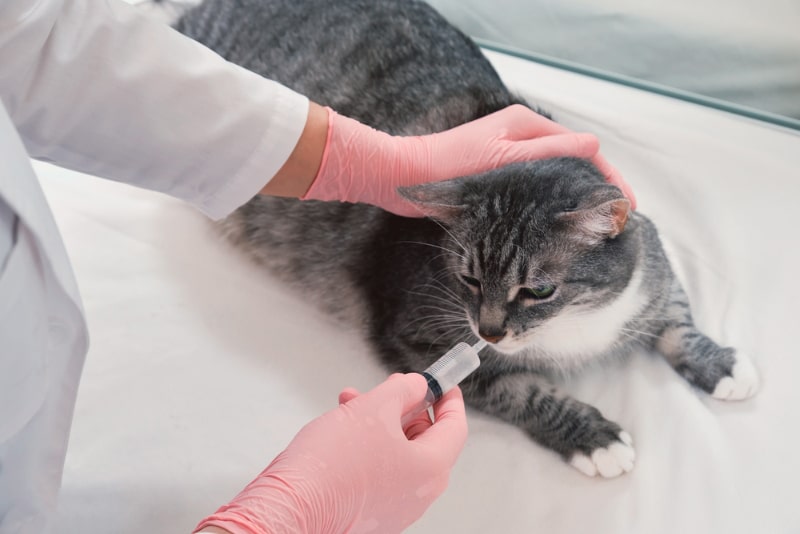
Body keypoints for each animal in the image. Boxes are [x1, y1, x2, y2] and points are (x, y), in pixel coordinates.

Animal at [167, 0, 756, 480]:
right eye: (468, 278)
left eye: (539, 290)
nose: (488, 332)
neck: (574, 327)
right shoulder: (412, 340)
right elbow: (519, 390)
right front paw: (593, 437)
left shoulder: (650, 261)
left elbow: (676, 319)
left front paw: (721, 366)